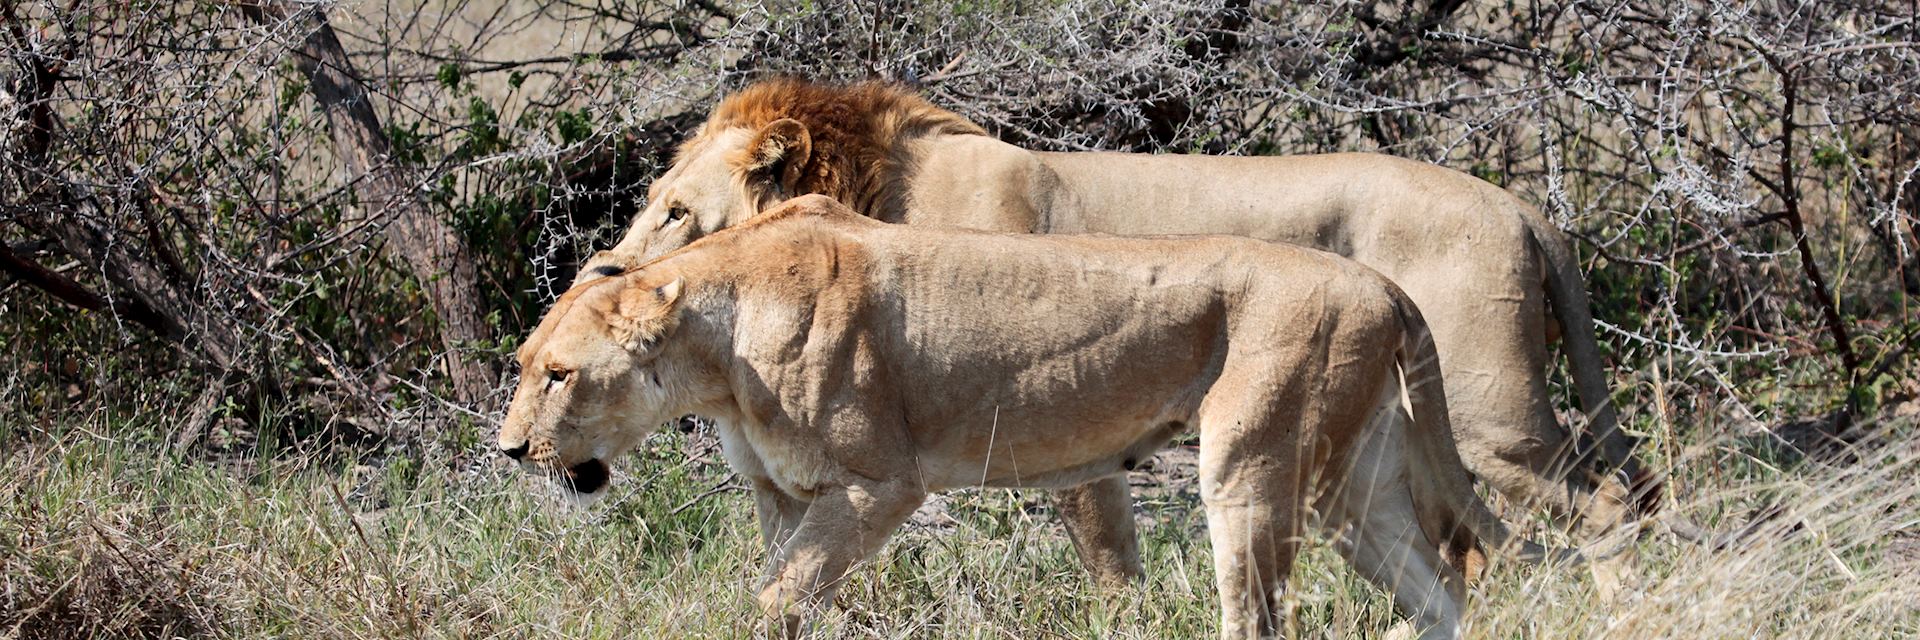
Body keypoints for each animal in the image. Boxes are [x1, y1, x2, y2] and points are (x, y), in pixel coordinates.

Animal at [506, 194, 1574, 638]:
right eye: (524, 368)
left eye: (559, 375)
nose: (512, 450)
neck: (715, 352)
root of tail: (1383, 285)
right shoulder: (788, 494)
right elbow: (793, 587)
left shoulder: (880, 484)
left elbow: (777, 596)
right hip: (1354, 483)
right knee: (1444, 587)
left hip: (1251, 462)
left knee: (1264, 614)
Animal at [576, 78, 1658, 584]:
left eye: (675, 211)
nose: (603, 272)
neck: (882, 191)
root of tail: (1524, 208)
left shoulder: (1050, 410)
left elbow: (1105, 552)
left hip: (1489, 409)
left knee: (1605, 504)